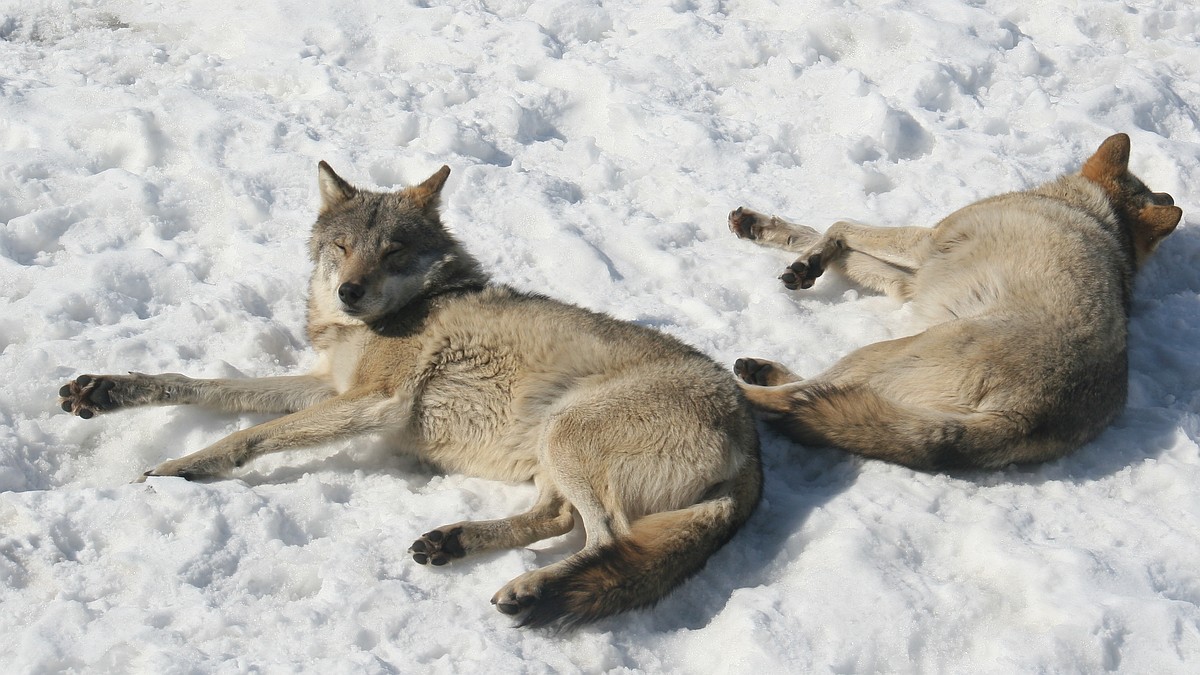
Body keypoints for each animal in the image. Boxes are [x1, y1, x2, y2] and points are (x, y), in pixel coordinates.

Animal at [58, 162, 758, 624]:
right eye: (342, 246)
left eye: (392, 252)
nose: (349, 291)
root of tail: (753, 439)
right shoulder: (328, 385)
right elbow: (210, 387)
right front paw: (104, 389)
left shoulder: (372, 400)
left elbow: (250, 433)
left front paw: (182, 467)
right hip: (553, 450)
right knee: (559, 519)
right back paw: (453, 541)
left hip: (568, 433)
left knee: (605, 538)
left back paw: (532, 590)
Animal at [724, 131, 1176, 468]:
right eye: (1158, 194)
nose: (1171, 198)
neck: (1098, 214)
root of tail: (1026, 416)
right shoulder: (912, 279)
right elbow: (828, 239)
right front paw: (777, 240)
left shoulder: (926, 243)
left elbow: (840, 224)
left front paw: (808, 258)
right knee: (817, 392)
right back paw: (761, 371)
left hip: (887, 350)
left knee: (798, 398)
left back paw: (738, 387)